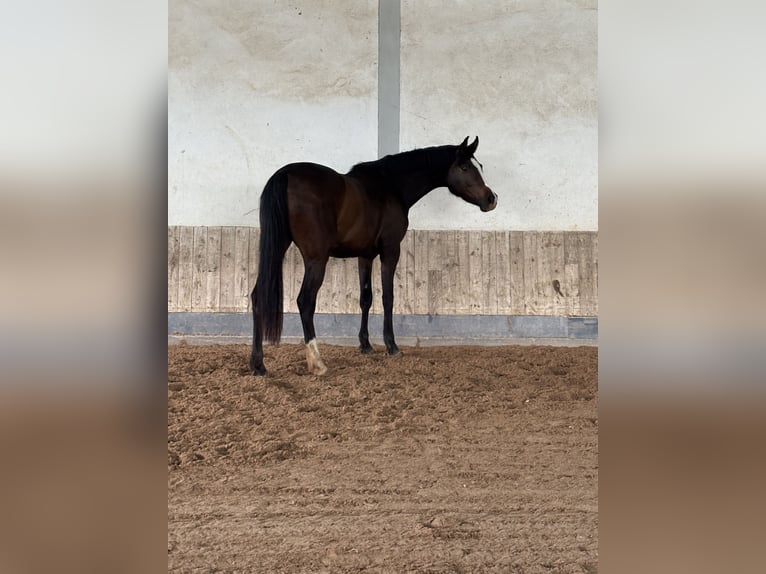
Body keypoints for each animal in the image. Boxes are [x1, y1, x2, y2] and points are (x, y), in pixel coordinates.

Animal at [249, 136, 496, 376]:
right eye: (465, 166)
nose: (491, 198)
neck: (390, 186)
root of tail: (285, 175)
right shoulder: (391, 250)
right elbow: (388, 297)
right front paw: (392, 346)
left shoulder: (365, 256)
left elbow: (365, 298)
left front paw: (365, 345)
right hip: (316, 259)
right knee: (305, 301)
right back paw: (317, 363)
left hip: (279, 248)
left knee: (257, 297)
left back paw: (258, 364)